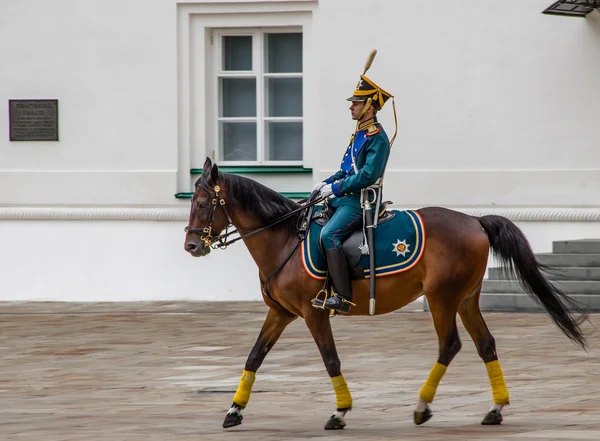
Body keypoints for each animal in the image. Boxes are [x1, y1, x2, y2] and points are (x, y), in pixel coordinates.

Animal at [183, 157, 584, 430]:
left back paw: (422, 406)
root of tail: (474, 220)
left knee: (450, 344)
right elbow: (254, 357)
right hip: (466, 300)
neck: (284, 240)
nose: (191, 246)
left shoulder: (314, 313)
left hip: (442, 299)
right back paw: (495, 408)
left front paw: (340, 411)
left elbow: (331, 360)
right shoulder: (280, 313)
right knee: (485, 344)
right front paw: (234, 410)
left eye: (202, 204)